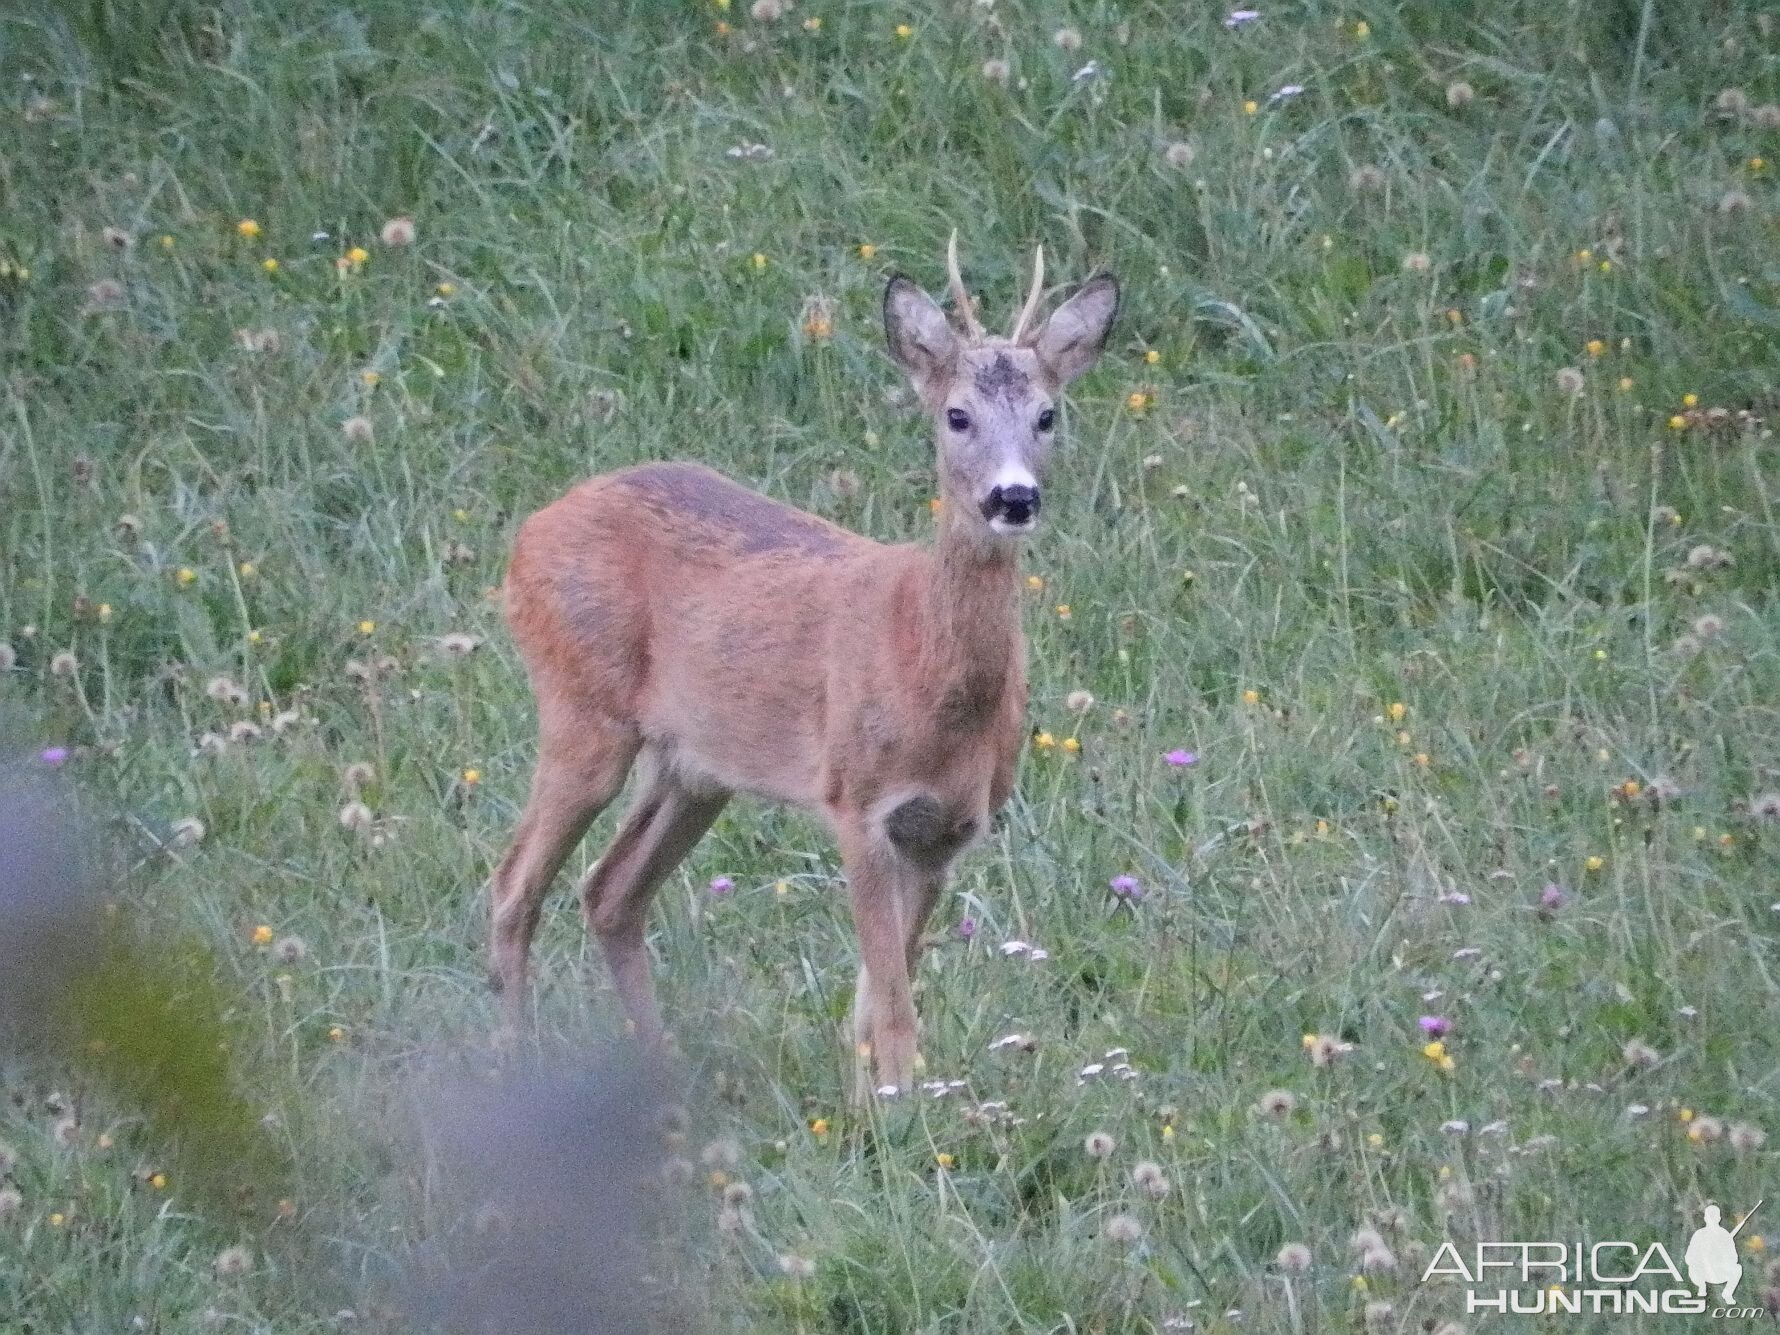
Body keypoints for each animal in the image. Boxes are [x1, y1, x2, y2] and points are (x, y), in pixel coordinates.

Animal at [491, 238, 1110, 1096]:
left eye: (1047, 415)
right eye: (957, 415)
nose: (1012, 497)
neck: (925, 665)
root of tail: (527, 536)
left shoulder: (946, 832)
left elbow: (874, 999)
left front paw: (873, 1105)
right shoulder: (858, 802)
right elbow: (893, 1007)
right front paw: (897, 1113)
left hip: (694, 768)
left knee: (609, 891)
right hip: (582, 712)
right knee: (514, 885)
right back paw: (517, 1063)